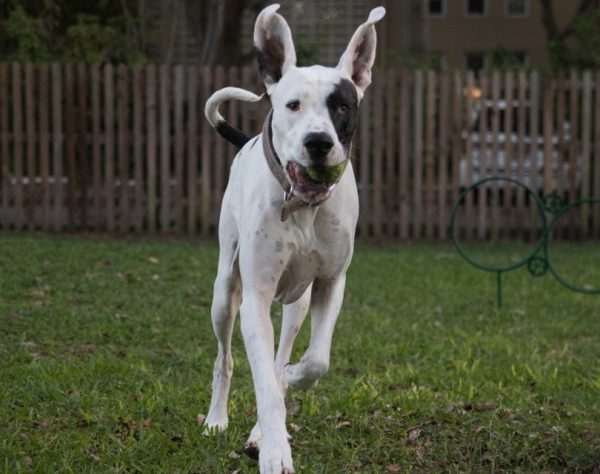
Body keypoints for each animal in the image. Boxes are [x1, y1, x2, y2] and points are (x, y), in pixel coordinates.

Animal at [203, 4, 384, 474]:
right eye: (292, 105)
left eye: (342, 106)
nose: (318, 142)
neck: (303, 205)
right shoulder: (256, 298)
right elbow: (263, 382)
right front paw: (274, 452)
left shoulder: (331, 284)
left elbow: (314, 362)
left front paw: (290, 384)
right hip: (224, 293)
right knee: (225, 358)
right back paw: (217, 419)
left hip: (297, 303)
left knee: (283, 350)